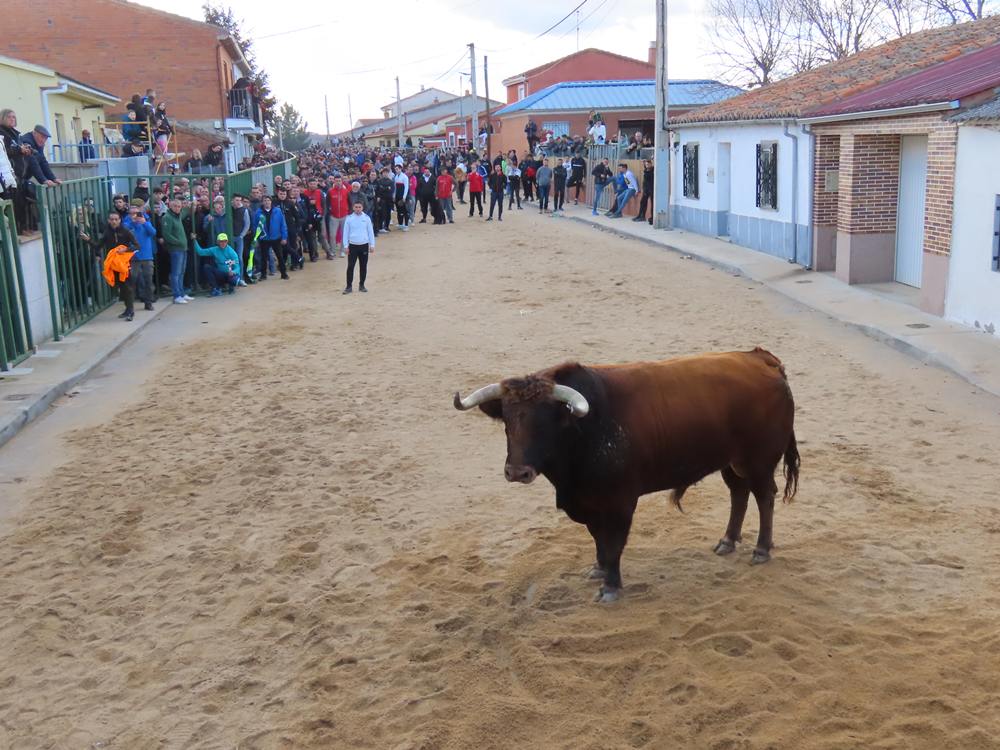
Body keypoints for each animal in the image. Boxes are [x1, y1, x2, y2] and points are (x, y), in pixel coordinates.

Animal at [458, 350, 800, 604]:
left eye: (545, 422)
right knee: (738, 494)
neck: (586, 430)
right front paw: (598, 570)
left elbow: (614, 543)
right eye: (507, 421)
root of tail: (762, 359)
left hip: (758, 461)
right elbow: (598, 539)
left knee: (764, 497)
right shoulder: (588, 503)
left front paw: (610, 586)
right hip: (731, 462)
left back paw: (761, 549)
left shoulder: (620, 502)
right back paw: (727, 541)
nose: (517, 472)